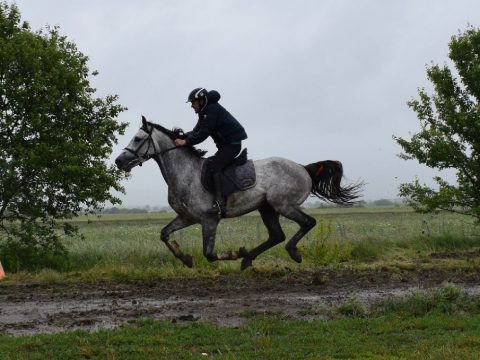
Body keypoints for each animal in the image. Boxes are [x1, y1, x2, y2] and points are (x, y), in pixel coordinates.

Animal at [115, 116, 360, 268]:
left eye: (137, 138)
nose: (119, 161)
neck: (185, 173)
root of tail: (303, 167)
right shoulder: (187, 217)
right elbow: (164, 234)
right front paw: (185, 258)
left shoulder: (209, 220)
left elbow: (209, 254)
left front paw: (234, 253)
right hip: (267, 208)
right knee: (276, 235)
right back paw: (248, 258)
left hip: (283, 205)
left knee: (307, 223)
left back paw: (290, 252)